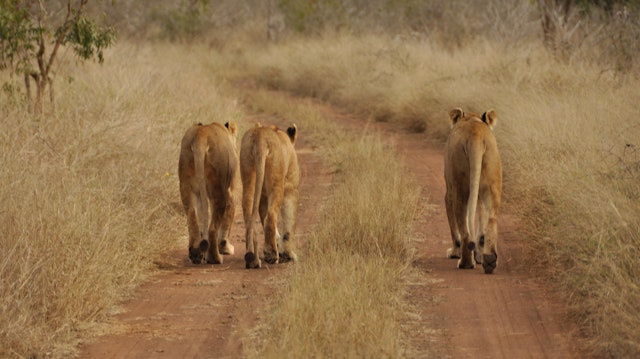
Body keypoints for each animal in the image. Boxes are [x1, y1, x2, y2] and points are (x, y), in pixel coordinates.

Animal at [442, 108, 502, 274]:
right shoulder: (480, 194)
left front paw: (454, 253)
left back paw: (465, 262)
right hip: (492, 182)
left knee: (464, 230)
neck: (472, 118)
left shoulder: (449, 192)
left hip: (459, 186)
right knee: (491, 218)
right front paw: (479, 256)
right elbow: (481, 217)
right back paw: (489, 260)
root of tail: (476, 135)